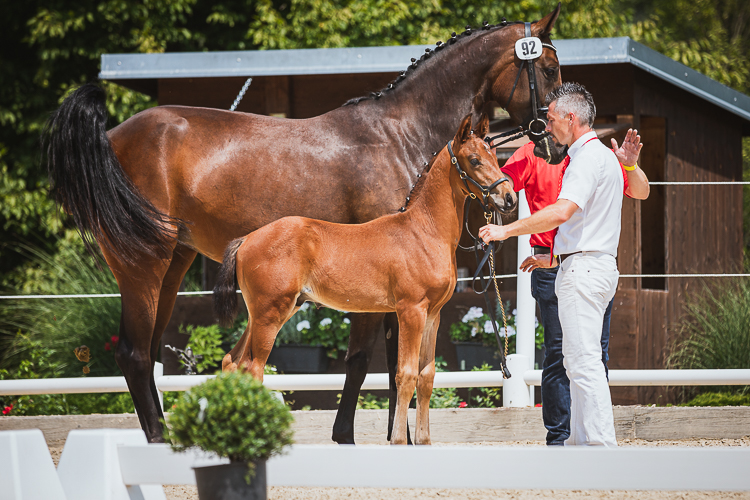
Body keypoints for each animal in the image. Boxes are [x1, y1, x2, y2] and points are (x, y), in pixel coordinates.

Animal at [214, 114, 507, 444]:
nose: (508, 198)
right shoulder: (411, 311)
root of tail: (247, 239)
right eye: (474, 160)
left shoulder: (433, 315)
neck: (424, 231)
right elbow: (405, 375)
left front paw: (423, 441)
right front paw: (398, 441)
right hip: (270, 314)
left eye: (495, 156)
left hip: (265, 313)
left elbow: (427, 376)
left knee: (233, 362)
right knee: (253, 368)